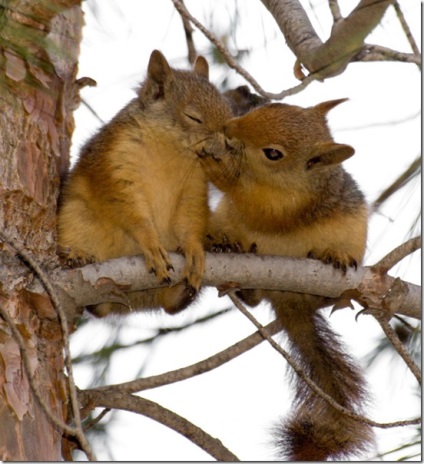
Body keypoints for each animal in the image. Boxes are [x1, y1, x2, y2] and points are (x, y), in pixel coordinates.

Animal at [56, 50, 232, 318]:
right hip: (74, 218)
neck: (172, 151)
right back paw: (78, 259)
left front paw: (194, 248)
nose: (228, 143)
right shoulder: (115, 165)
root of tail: (137, 302)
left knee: (170, 306)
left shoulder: (194, 185)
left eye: (227, 109)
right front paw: (150, 242)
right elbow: (129, 210)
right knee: (99, 308)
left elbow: (190, 217)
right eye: (194, 117)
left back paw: (185, 289)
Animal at [200, 94, 374, 460]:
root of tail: (288, 299)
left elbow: (261, 208)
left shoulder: (289, 205)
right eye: (267, 108)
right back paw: (234, 261)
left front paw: (217, 169)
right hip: (224, 221)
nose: (229, 128)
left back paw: (333, 258)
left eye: (273, 153)